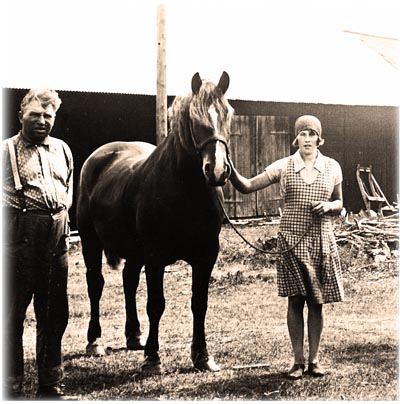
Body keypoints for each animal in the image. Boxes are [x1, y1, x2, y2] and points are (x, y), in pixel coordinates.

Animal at [76, 70, 234, 372]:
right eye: (194, 120)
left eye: (227, 115)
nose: (217, 170)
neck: (186, 192)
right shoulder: (155, 256)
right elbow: (156, 304)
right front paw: (152, 358)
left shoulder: (206, 255)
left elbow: (200, 303)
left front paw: (203, 356)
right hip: (91, 241)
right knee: (95, 284)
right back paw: (95, 342)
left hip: (134, 251)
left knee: (128, 280)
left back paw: (134, 336)